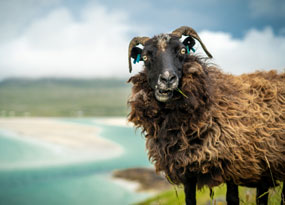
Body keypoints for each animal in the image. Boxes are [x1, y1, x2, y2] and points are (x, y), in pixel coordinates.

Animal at [127, 26, 284, 205]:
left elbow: (232, 199)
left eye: (182, 50)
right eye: (145, 57)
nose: (167, 79)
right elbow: (189, 200)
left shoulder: (233, 167)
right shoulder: (186, 171)